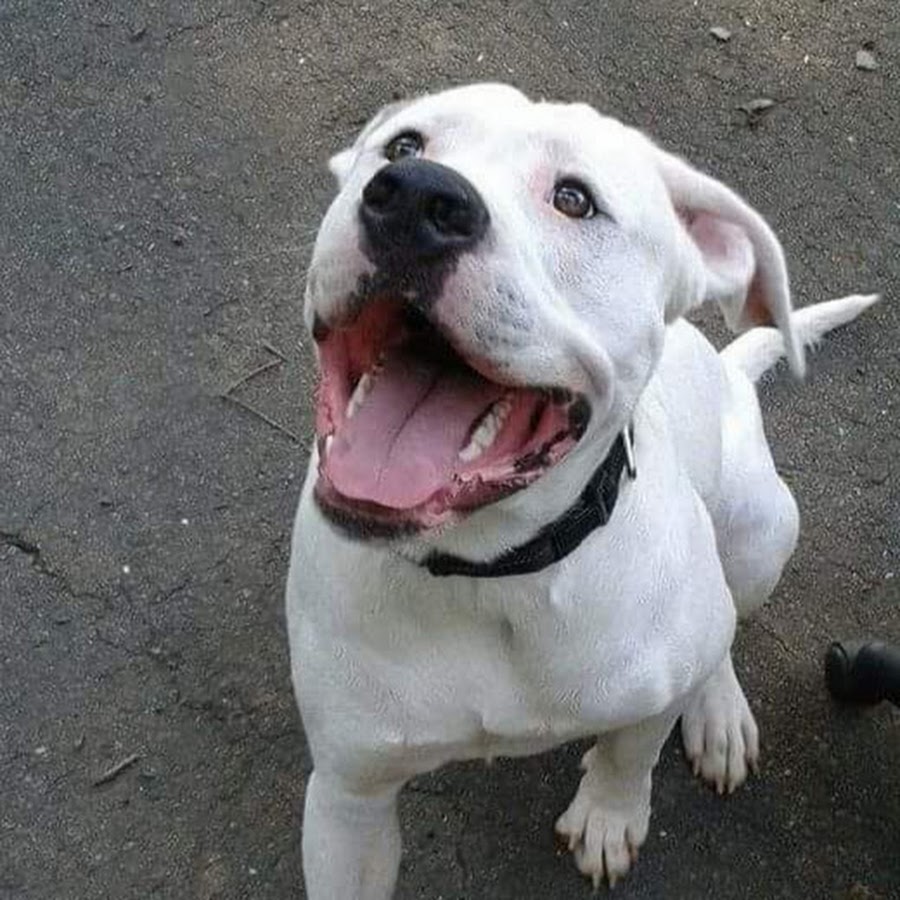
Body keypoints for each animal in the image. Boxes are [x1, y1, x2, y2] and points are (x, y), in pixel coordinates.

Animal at [285, 82, 878, 897]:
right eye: (404, 146)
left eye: (574, 200)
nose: (415, 196)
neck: (492, 571)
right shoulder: (349, 796)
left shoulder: (650, 693)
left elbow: (634, 749)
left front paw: (608, 813)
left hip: (761, 534)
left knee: (725, 625)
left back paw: (718, 710)